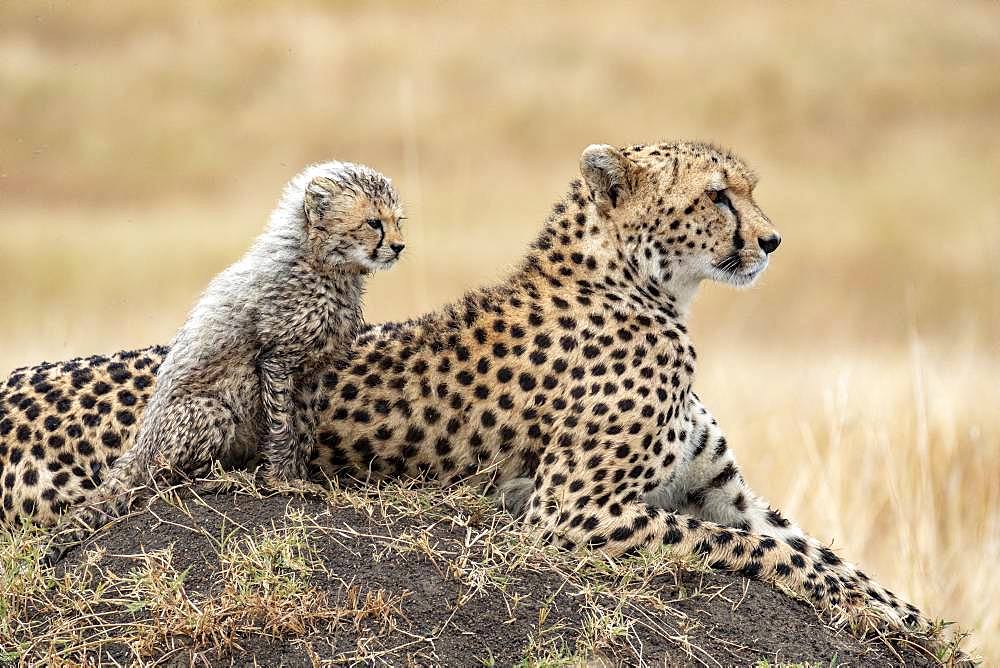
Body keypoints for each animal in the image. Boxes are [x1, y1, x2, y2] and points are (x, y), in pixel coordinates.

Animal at [0, 141, 920, 632]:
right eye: (718, 195)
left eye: (750, 190)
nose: (771, 241)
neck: (646, 285)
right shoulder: (568, 513)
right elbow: (761, 551)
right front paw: (869, 612)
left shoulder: (717, 490)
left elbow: (816, 547)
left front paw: (905, 615)